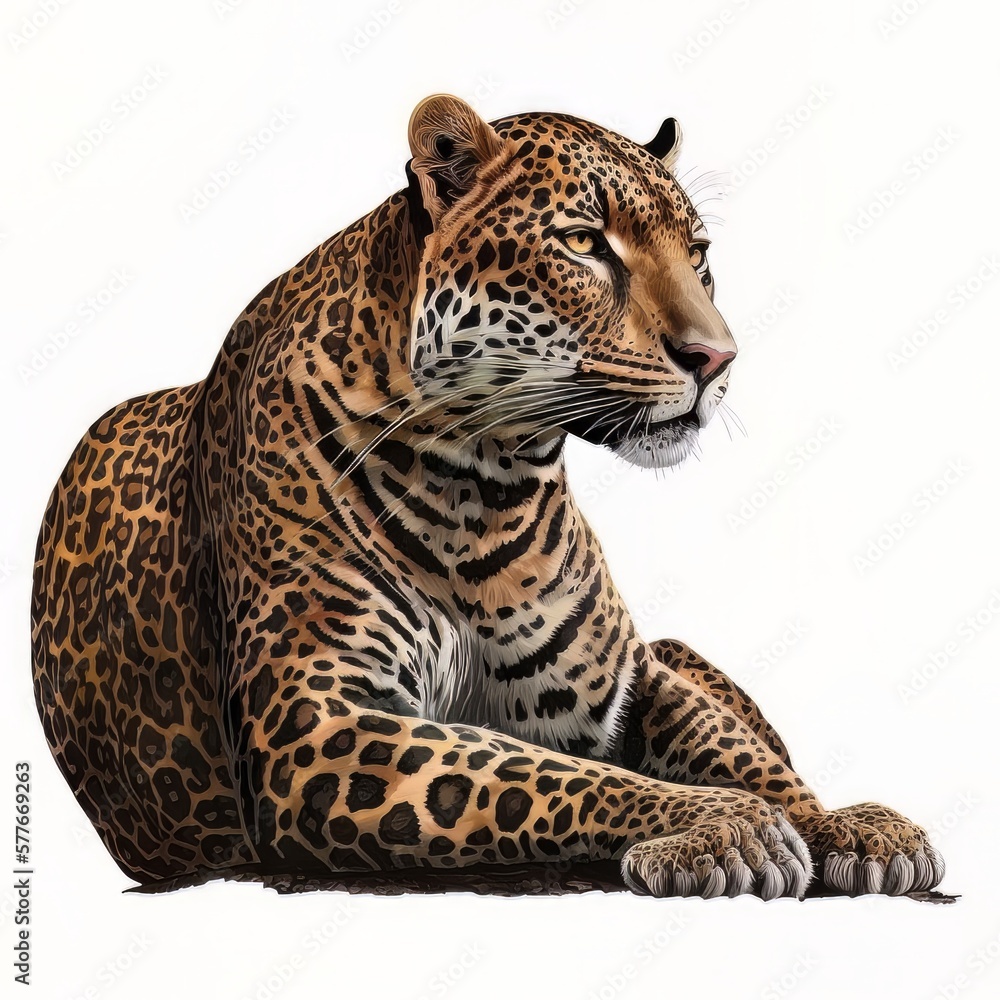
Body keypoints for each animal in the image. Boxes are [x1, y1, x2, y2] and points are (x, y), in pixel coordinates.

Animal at [30, 94, 946, 899]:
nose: (717, 359)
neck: (486, 484)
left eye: (700, 253)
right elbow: (541, 773)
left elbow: (738, 752)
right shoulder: (315, 727)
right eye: (584, 242)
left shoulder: (627, 685)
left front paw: (846, 824)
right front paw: (723, 826)